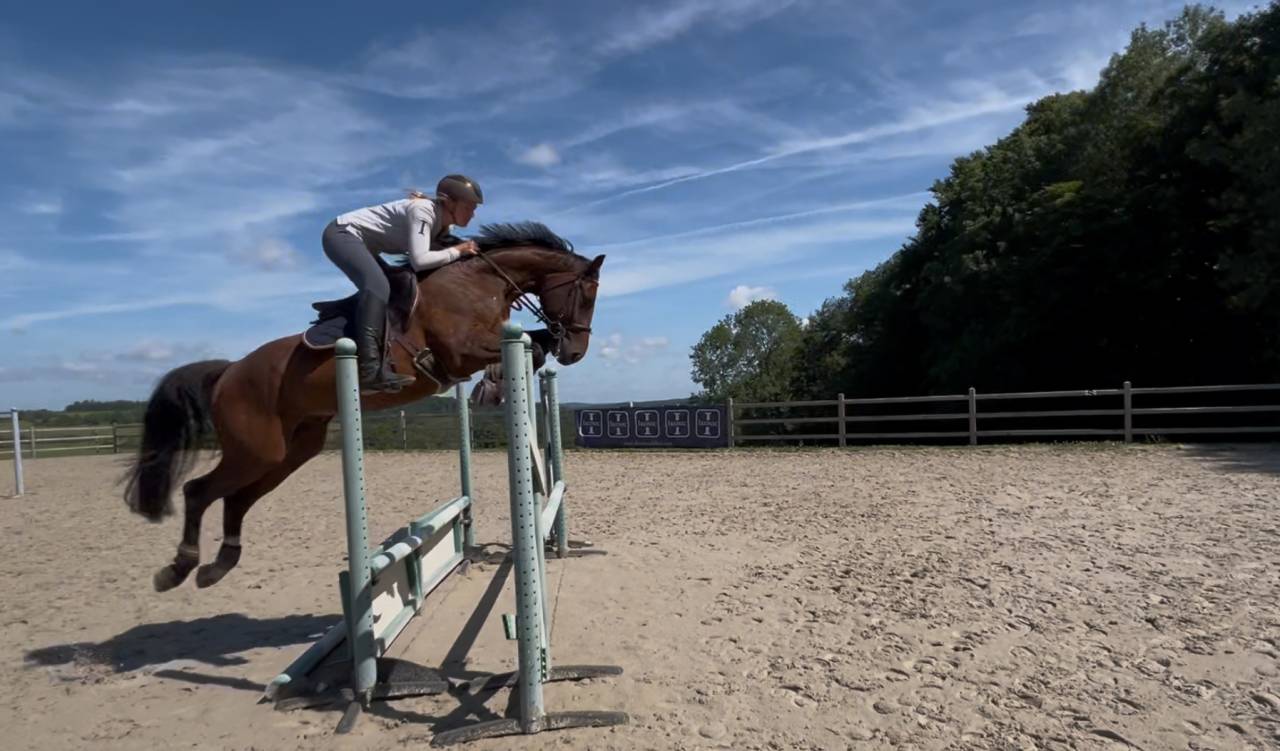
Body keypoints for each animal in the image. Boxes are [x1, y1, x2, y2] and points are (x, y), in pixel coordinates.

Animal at [123, 222, 603, 592]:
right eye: (586, 294)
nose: (575, 352)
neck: (478, 283)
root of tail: (228, 371)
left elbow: (535, 345)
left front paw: (501, 381)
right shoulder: (459, 351)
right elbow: (527, 346)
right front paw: (492, 385)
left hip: (290, 451)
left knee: (236, 499)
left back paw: (218, 566)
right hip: (255, 449)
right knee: (198, 491)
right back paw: (178, 568)